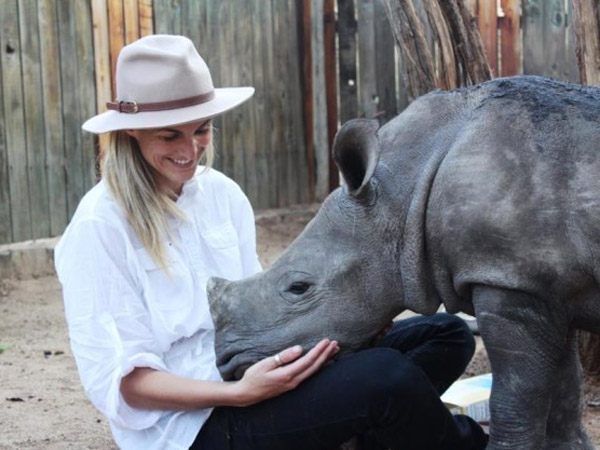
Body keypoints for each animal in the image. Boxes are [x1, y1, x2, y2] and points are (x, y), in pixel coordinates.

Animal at [207, 75, 600, 448]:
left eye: (298, 288)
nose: (227, 361)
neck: (403, 191)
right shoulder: (541, 282)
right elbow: (564, 386)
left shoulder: (508, 278)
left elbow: (515, 398)